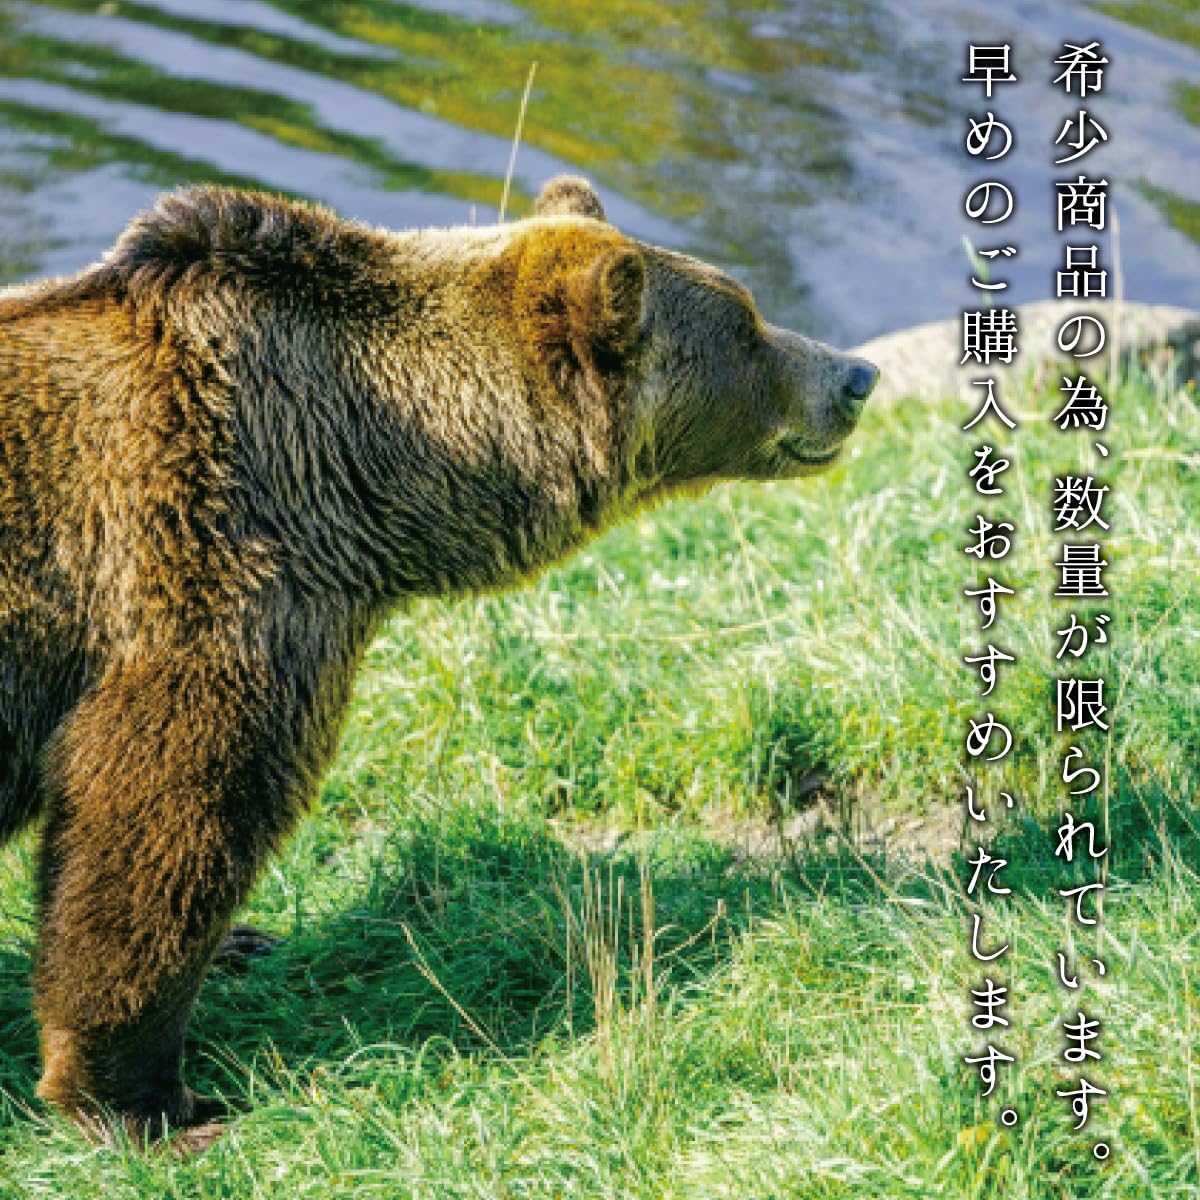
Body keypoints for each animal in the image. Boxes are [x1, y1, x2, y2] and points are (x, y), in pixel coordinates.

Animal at [0, 174, 877, 1144]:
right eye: (748, 323)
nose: (855, 376)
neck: (362, 473)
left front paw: (239, 941)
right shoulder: (203, 574)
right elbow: (161, 816)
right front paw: (150, 1100)